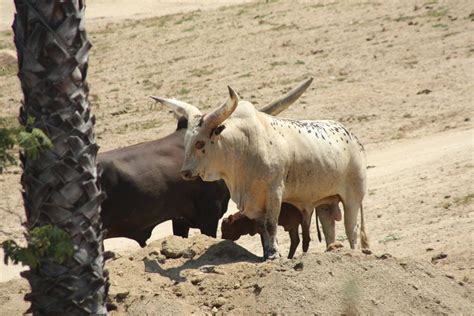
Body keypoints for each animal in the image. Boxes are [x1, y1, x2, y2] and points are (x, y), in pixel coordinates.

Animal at [154, 81, 368, 260]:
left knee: (351, 230)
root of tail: (354, 139)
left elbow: (271, 226)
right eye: (186, 142)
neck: (243, 148)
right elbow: (262, 228)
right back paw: (332, 250)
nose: (185, 172)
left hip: (352, 199)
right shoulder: (253, 202)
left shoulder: (274, 193)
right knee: (329, 229)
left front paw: (273, 254)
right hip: (325, 203)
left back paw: (352, 252)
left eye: (200, 143)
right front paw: (267, 253)